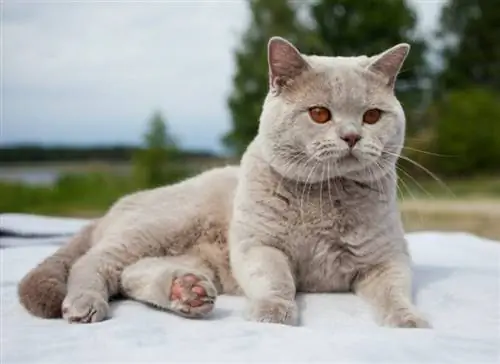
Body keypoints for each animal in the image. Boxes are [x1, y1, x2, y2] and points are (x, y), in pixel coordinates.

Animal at [17, 36, 428, 328]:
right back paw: (86, 304)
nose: (352, 136)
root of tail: (108, 212)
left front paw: (408, 320)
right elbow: (276, 279)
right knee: (93, 262)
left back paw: (187, 292)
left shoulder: (387, 258)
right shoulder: (258, 245)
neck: (325, 199)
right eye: (319, 114)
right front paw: (273, 312)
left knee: (132, 274)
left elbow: (395, 290)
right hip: (161, 224)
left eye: (372, 116)